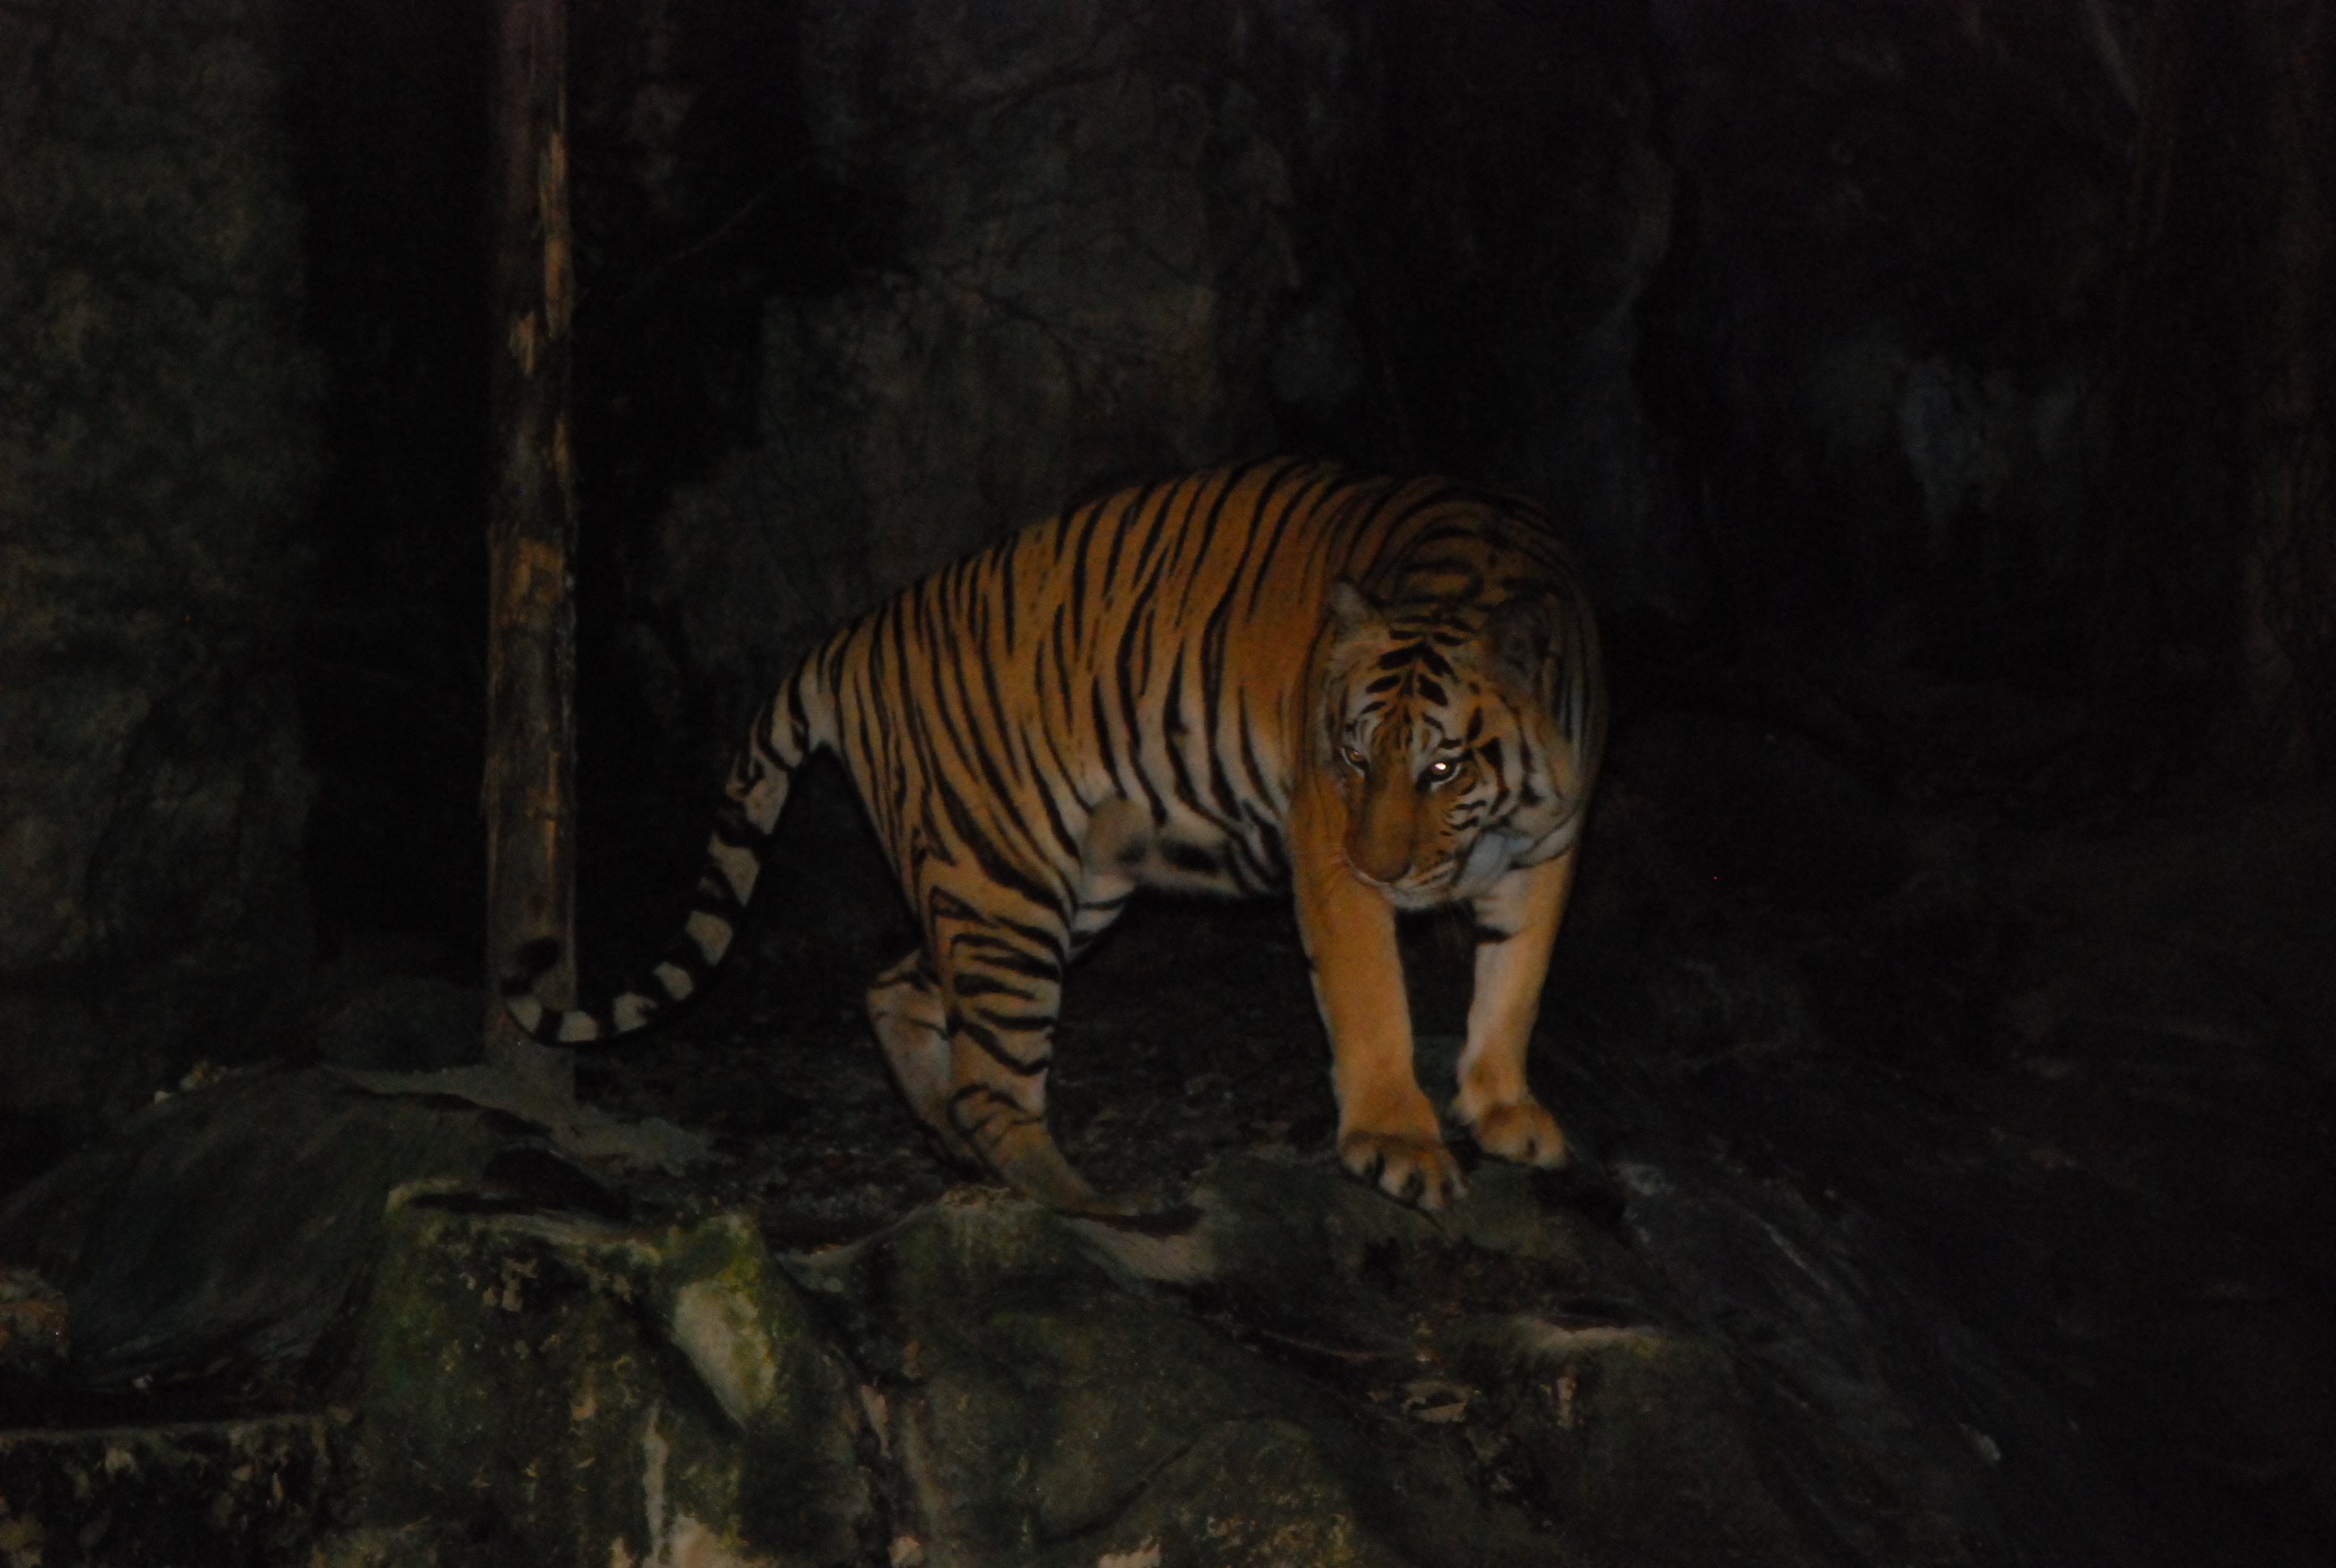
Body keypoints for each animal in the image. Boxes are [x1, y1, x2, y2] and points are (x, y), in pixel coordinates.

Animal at [506, 457, 1605, 1214]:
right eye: (1351, 757)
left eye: (1441, 770)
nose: (1384, 868)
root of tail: (852, 634)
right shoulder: (1323, 846)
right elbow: (1371, 998)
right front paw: (1399, 1147)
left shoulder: (1549, 845)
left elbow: (1516, 982)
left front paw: (1503, 1113)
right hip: (1008, 882)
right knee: (995, 1080)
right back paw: (1096, 1207)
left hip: (1049, 885)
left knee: (898, 989)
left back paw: (954, 1143)